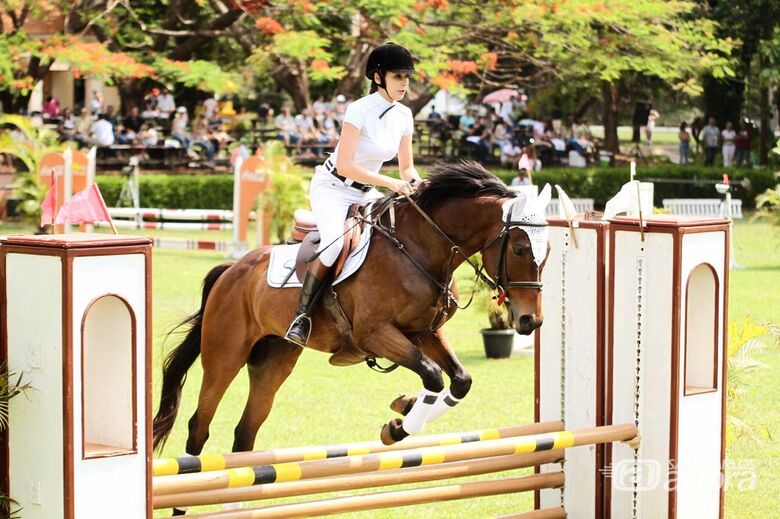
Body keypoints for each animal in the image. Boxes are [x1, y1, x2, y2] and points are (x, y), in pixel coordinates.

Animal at [152, 161, 552, 460]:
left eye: (547, 252)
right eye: (518, 249)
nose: (530, 321)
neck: (420, 248)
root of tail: (231, 270)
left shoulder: (425, 333)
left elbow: (459, 380)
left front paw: (404, 410)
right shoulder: (375, 334)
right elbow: (432, 374)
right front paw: (397, 427)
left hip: (274, 359)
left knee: (245, 433)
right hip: (225, 355)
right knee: (199, 426)